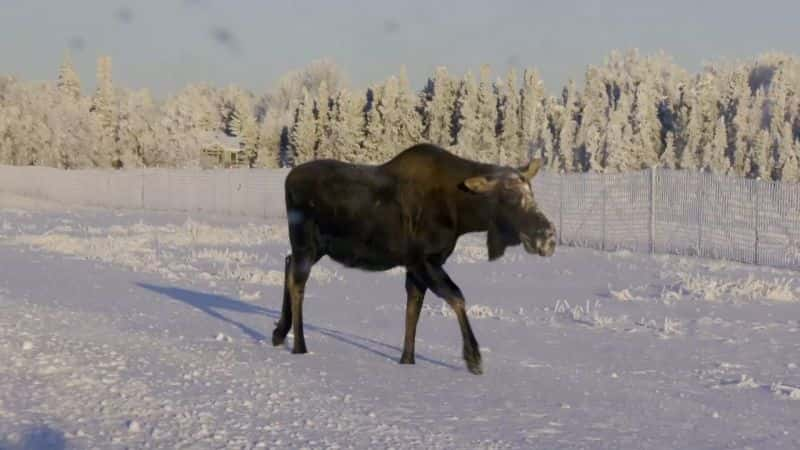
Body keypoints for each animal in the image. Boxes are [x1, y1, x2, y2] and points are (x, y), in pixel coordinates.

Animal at [270, 143, 556, 372]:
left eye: (532, 193)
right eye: (508, 197)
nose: (547, 236)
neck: (462, 215)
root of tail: (287, 179)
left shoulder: (418, 265)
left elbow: (413, 310)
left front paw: (407, 360)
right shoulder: (423, 260)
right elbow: (456, 297)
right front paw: (473, 358)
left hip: (316, 248)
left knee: (287, 262)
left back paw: (279, 332)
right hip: (306, 243)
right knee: (298, 282)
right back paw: (299, 346)